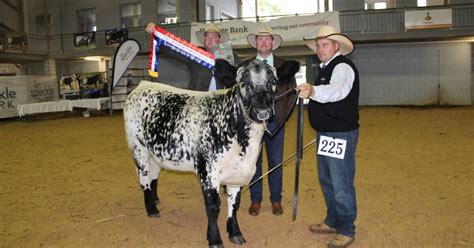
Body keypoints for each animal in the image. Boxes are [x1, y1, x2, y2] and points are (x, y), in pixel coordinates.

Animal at [124, 59, 298, 247]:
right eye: (243, 83)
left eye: (273, 81)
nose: (262, 110)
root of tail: (143, 84)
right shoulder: (208, 173)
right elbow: (213, 206)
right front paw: (215, 238)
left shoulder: (237, 173)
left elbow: (234, 204)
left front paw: (235, 233)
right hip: (138, 148)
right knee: (144, 178)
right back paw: (151, 209)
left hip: (156, 152)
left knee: (154, 175)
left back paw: (155, 199)